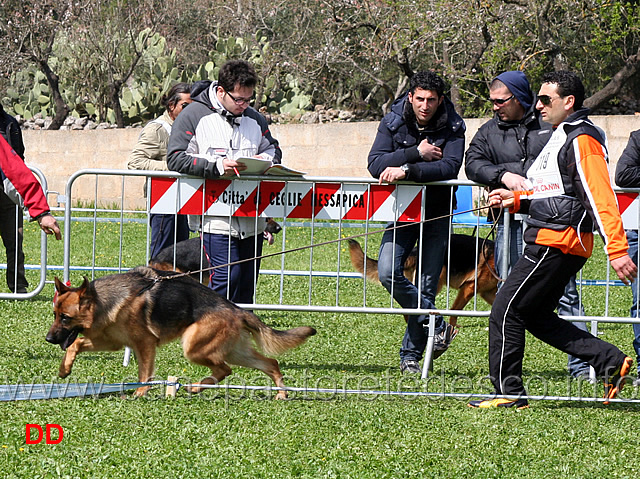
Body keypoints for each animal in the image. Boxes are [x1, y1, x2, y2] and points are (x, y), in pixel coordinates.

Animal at [45, 268, 316, 400]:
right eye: (54, 314)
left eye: (65, 318)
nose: (48, 339)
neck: (103, 301)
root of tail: (236, 309)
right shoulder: (109, 341)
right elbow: (76, 344)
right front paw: (64, 369)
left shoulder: (145, 344)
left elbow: (144, 374)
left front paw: (140, 393)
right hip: (235, 352)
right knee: (269, 363)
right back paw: (281, 392)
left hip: (194, 347)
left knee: (224, 369)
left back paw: (196, 387)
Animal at [348, 232, 498, 326]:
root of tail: (415, 251)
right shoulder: (469, 288)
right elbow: (455, 311)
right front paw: (453, 327)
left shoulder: (487, 293)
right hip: (435, 282)